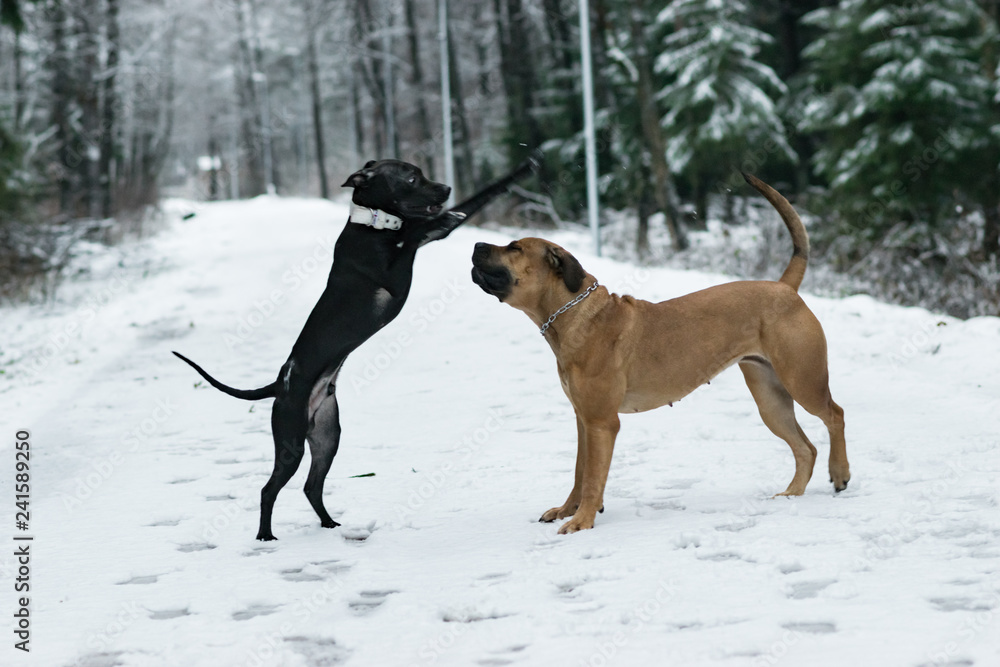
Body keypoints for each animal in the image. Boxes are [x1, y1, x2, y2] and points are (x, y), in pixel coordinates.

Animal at [175, 155, 536, 536]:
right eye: (412, 177)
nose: (446, 188)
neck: (374, 225)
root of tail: (279, 384)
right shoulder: (397, 267)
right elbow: (420, 231)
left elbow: (472, 201)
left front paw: (523, 169)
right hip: (290, 442)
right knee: (268, 489)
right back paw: (265, 537)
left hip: (326, 435)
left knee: (311, 486)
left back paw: (329, 523)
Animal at [472, 172, 848, 532]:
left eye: (514, 247)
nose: (476, 244)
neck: (573, 313)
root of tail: (785, 287)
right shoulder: (583, 419)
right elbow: (580, 472)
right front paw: (568, 510)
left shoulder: (602, 422)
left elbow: (592, 477)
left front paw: (582, 521)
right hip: (770, 399)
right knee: (805, 448)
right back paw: (792, 493)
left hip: (803, 380)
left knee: (835, 415)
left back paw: (840, 473)